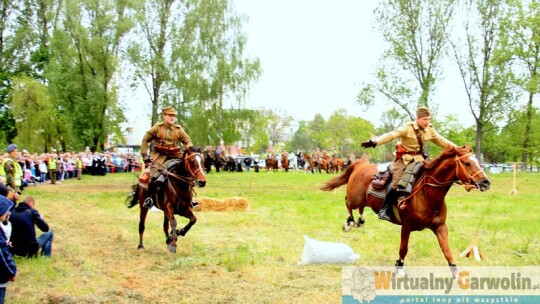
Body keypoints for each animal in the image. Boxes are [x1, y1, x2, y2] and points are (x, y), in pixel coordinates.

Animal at [318, 146, 492, 272]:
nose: (486, 182)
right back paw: (349, 223)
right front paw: (399, 267)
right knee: (348, 203)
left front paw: (456, 274)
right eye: (467, 163)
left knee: (360, 208)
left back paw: (360, 220)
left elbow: (447, 251)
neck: (427, 194)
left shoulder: (441, 227)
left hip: (364, 200)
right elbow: (403, 249)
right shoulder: (406, 227)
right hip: (355, 198)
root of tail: (361, 165)